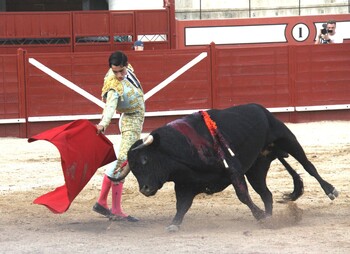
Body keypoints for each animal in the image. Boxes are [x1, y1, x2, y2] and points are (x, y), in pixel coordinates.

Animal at [116, 104, 338, 231]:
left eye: (145, 159)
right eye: (133, 169)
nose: (144, 189)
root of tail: (260, 108)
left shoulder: (233, 170)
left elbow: (243, 196)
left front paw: (257, 215)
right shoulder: (185, 183)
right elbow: (182, 205)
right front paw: (174, 224)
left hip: (287, 139)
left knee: (309, 166)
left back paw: (330, 190)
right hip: (256, 169)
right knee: (266, 193)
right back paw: (269, 217)